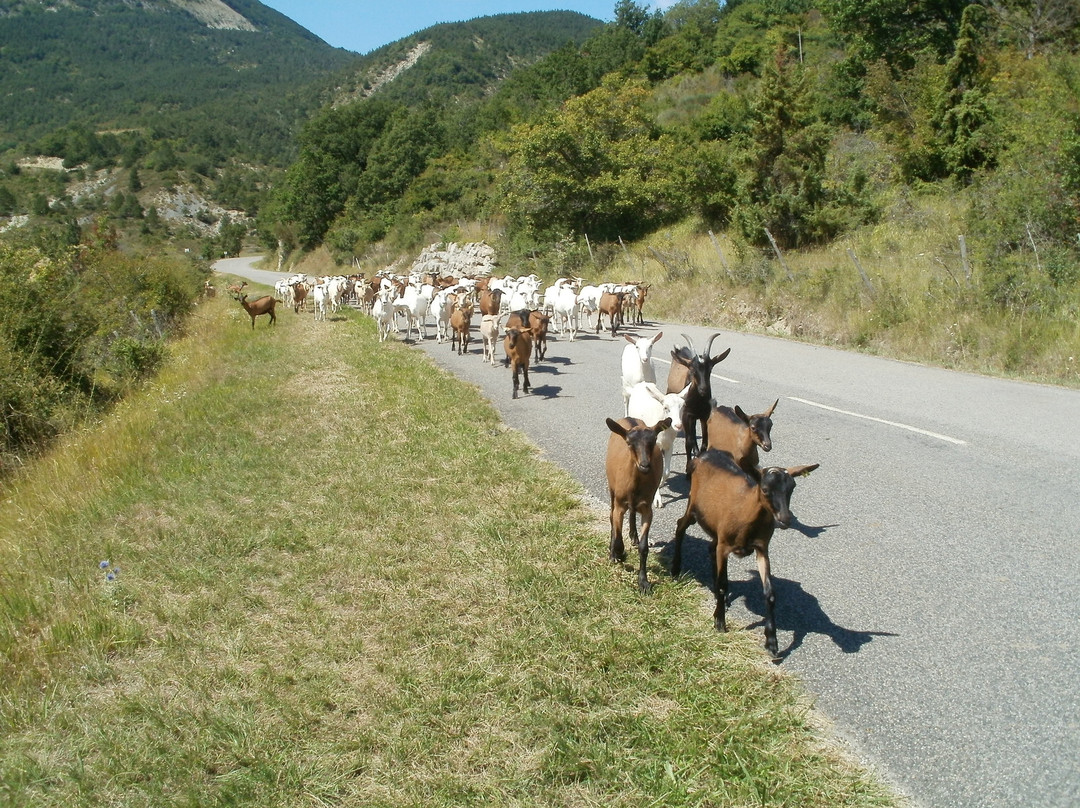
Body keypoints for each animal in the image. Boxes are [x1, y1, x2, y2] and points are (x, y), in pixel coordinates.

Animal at [604, 416, 669, 591]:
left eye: (653, 442)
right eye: (629, 443)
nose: (645, 465)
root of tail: (629, 418)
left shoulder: (647, 509)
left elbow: (644, 547)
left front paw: (643, 582)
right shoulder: (619, 504)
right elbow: (617, 535)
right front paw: (618, 554)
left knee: (632, 512)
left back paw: (633, 535)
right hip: (612, 489)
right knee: (611, 516)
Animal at [665, 332, 734, 473]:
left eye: (710, 369)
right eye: (692, 369)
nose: (704, 389)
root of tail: (679, 350)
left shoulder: (704, 416)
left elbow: (705, 441)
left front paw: (699, 455)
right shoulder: (686, 415)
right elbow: (688, 441)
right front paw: (688, 467)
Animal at [665, 451, 816, 661]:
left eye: (792, 488)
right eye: (765, 489)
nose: (785, 520)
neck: (747, 513)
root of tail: (703, 456)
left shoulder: (762, 549)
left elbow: (769, 593)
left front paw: (772, 643)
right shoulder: (725, 546)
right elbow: (723, 584)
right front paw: (719, 622)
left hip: (715, 526)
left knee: (710, 548)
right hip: (694, 506)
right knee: (681, 526)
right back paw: (676, 569)